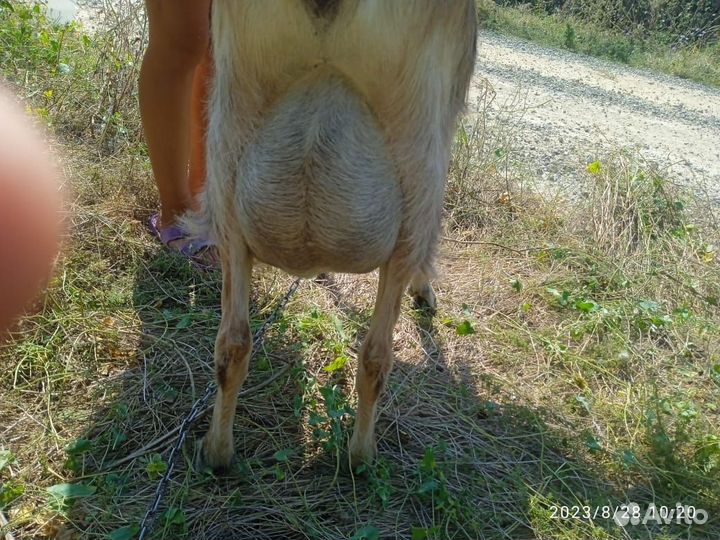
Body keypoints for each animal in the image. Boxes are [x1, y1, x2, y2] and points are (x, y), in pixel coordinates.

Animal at [195, 0, 477, 470]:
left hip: (227, 153)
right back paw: (361, 456)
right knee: (377, 355)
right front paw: (425, 291)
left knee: (232, 341)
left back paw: (218, 450)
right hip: (418, 159)